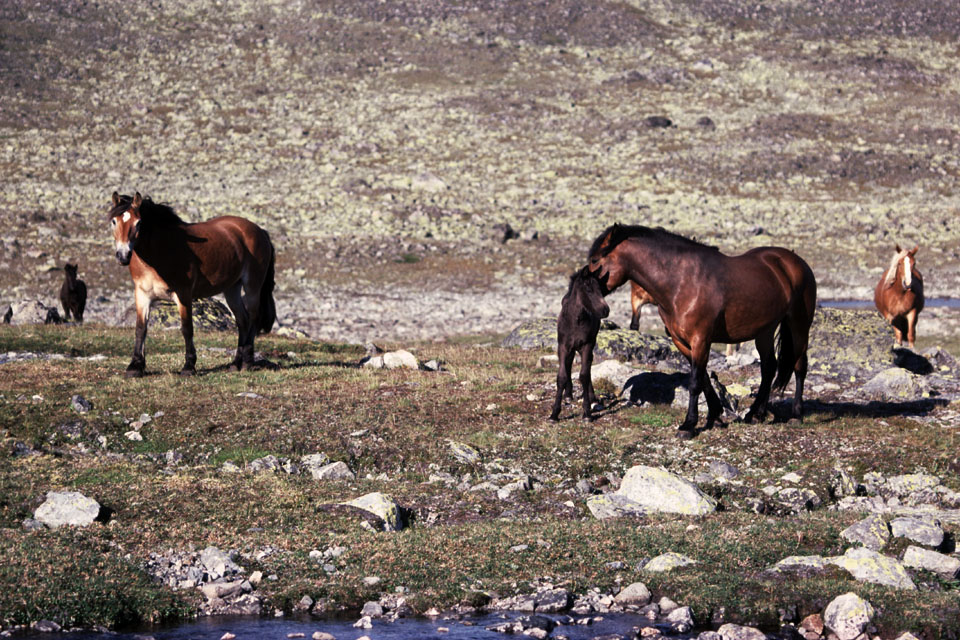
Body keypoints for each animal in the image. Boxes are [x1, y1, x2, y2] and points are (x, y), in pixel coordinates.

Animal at [108, 192, 276, 378]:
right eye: (114, 221)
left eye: (138, 223)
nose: (123, 256)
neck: (160, 251)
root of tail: (259, 231)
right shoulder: (142, 294)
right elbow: (140, 328)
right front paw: (135, 366)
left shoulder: (183, 294)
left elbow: (187, 328)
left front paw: (189, 366)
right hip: (232, 289)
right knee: (243, 321)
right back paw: (235, 363)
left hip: (252, 286)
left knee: (253, 318)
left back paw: (247, 362)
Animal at [552, 264, 612, 420]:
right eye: (588, 289)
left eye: (600, 289)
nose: (605, 310)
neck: (576, 320)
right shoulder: (563, 346)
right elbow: (561, 376)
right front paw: (554, 414)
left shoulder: (586, 346)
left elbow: (584, 375)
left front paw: (587, 413)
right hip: (570, 348)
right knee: (568, 364)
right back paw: (568, 395)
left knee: (588, 367)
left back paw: (592, 397)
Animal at [584, 222, 816, 438]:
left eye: (594, 260)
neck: (681, 281)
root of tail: (794, 262)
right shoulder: (682, 341)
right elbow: (703, 378)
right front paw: (715, 414)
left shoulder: (701, 339)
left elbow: (695, 382)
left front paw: (689, 425)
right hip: (764, 331)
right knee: (769, 368)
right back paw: (755, 414)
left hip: (799, 325)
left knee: (799, 366)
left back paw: (796, 414)